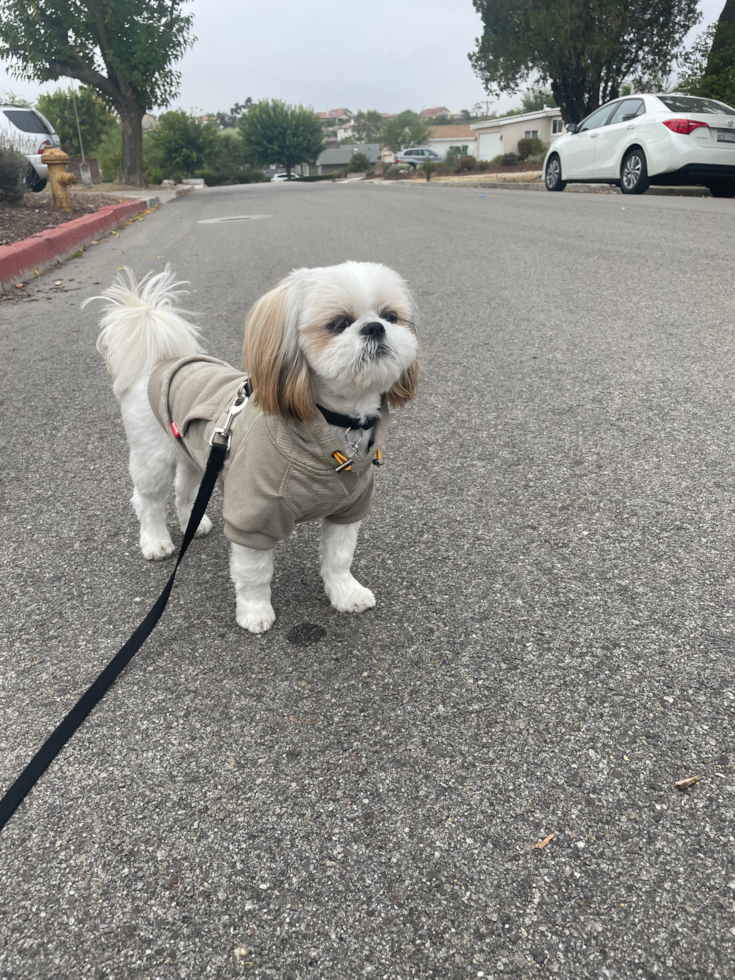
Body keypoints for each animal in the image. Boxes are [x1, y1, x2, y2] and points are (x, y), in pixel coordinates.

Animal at [89, 260, 416, 632]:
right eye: (338, 323)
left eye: (391, 316)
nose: (376, 328)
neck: (332, 423)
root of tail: (162, 361)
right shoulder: (254, 517)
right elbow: (254, 573)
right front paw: (255, 611)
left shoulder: (348, 508)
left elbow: (338, 557)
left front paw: (346, 593)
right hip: (153, 457)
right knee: (147, 501)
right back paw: (156, 541)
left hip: (197, 455)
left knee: (186, 491)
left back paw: (193, 524)